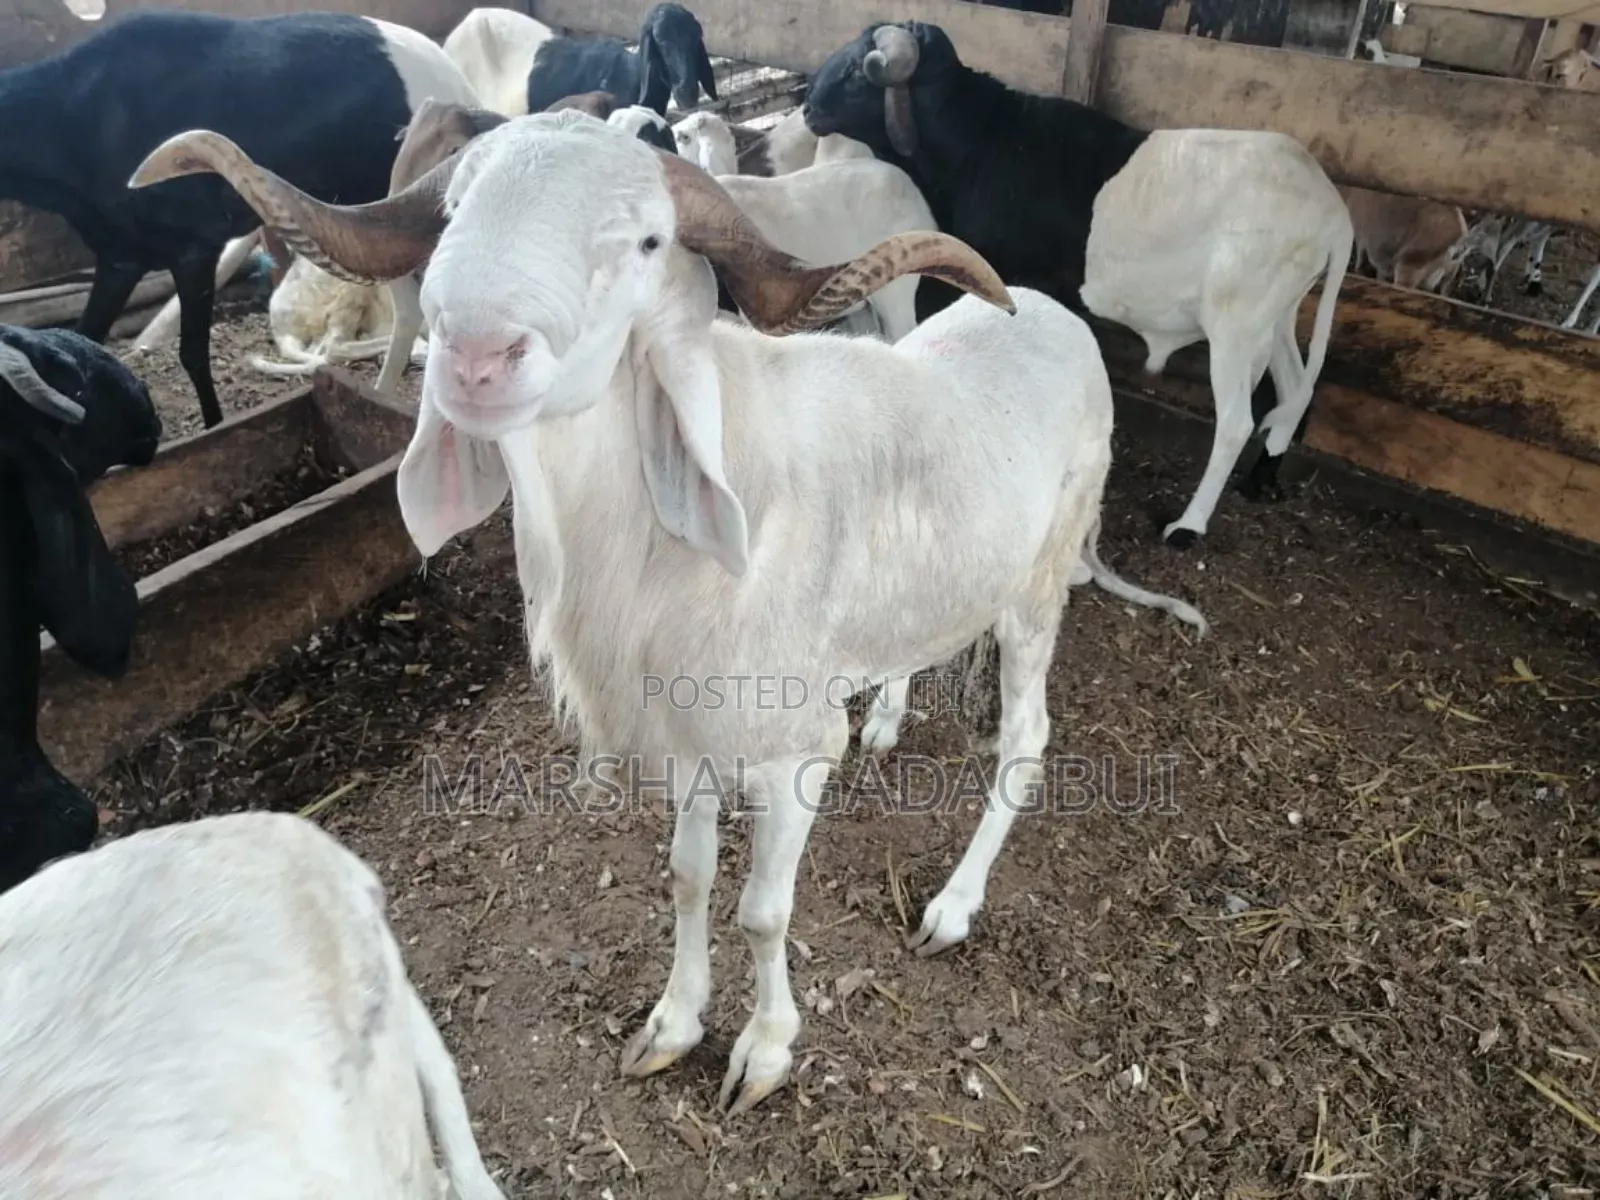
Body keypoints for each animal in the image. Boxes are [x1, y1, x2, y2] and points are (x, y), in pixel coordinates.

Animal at [0, 9, 478, 428]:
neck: (77, 111)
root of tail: (456, 81)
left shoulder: (194, 248)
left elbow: (192, 352)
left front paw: (213, 425)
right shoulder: (120, 257)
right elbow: (86, 335)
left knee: (413, 311)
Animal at [131, 112, 1209, 1116]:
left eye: (649, 240)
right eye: (454, 211)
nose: (475, 357)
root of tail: (1053, 316)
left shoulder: (790, 749)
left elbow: (763, 911)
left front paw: (763, 1055)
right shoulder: (682, 734)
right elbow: (688, 876)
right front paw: (672, 1026)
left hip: (1037, 590)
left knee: (1025, 738)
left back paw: (951, 907)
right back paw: (890, 718)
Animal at [803, 21, 1354, 548]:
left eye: (856, 71)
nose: (808, 109)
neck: (984, 142)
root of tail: (1334, 213)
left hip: (1236, 326)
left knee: (1238, 421)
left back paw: (1188, 527)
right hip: (1278, 316)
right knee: (1295, 388)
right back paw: (1260, 480)